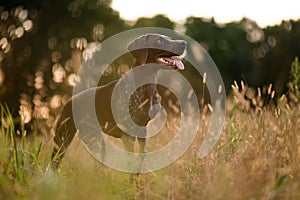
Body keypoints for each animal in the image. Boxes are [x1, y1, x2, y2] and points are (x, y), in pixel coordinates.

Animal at [51, 33, 188, 168]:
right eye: (159, 40)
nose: (184, 43)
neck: (145, 85)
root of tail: (68, 101)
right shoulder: (128, 136)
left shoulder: (142, 130)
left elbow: (140, 159)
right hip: (62, 139)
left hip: (96, 142)